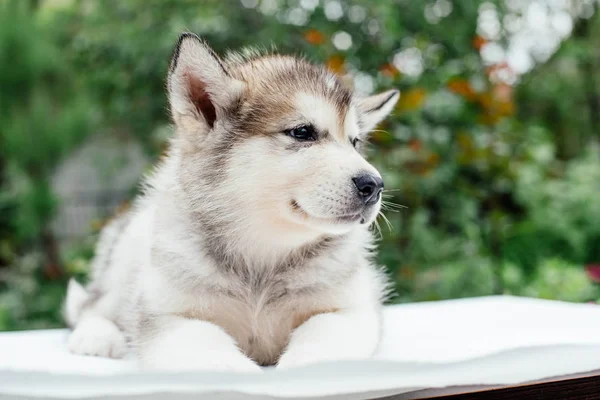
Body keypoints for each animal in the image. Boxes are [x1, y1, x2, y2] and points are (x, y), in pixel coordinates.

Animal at [64, 33, 398, 372]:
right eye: (303, 132)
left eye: (354, 142)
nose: (374, 185)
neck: (263, 254)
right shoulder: (168, 317)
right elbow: (213, 354)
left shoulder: (352, 309)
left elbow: (322, 338)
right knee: (93, 305)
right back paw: (96, 336)